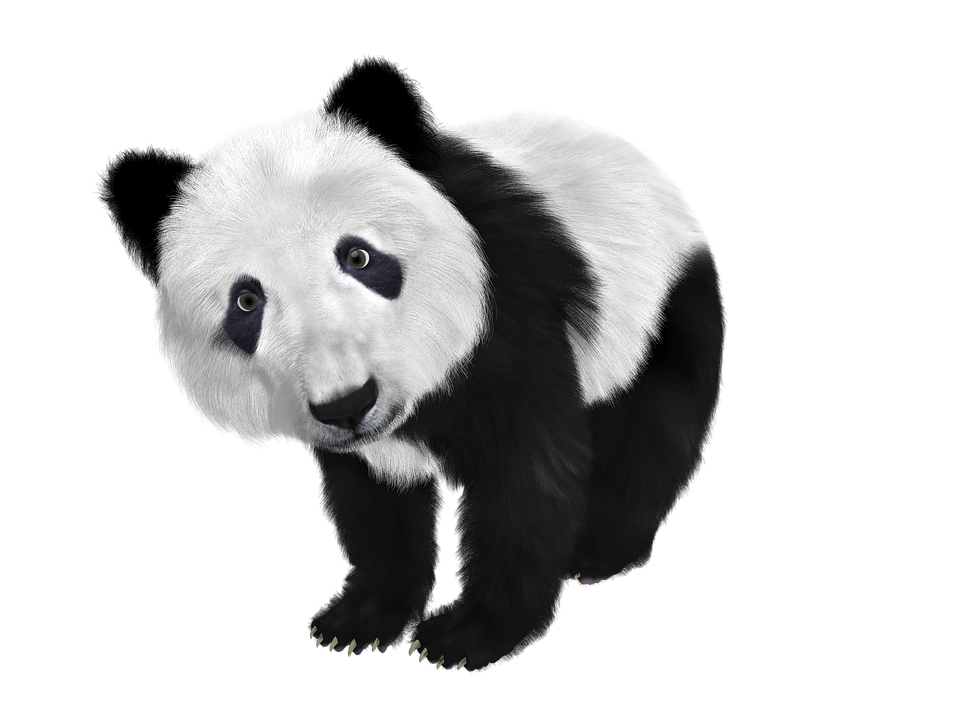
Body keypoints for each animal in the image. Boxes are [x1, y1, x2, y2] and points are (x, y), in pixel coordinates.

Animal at [151, 104, 725, 673]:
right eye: (246, 302)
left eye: (358, 257)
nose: (348, 405)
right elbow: (375, 502)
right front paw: (360, 622)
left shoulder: (509, 312)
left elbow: (522, 477)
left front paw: (470, 634)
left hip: (663, 302)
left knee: (652, 427)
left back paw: (600, 552)